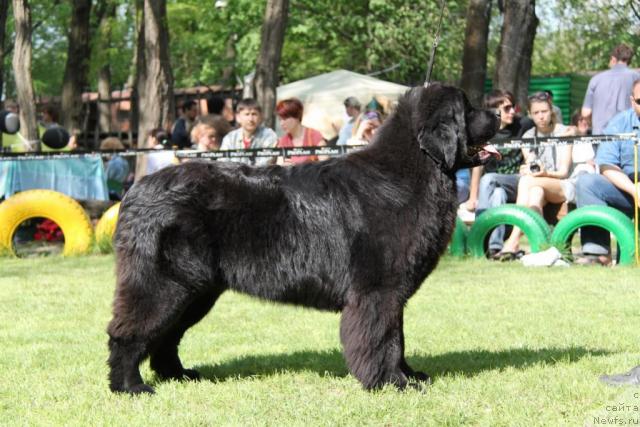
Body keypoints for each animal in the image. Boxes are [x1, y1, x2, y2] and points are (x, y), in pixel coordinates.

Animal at [109, 83, 500, 394]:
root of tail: (136, 188)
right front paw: (391, 382)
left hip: (197, 290)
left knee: (167, 336)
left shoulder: (393, 293)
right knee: (129, 331)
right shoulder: (378, 291)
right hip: (164, 284)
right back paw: (130, 386)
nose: (498, 112)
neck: (410, 173)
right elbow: (382, 338)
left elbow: (397, 337)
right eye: (468, 109)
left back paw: (178, 375)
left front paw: (409, 375)